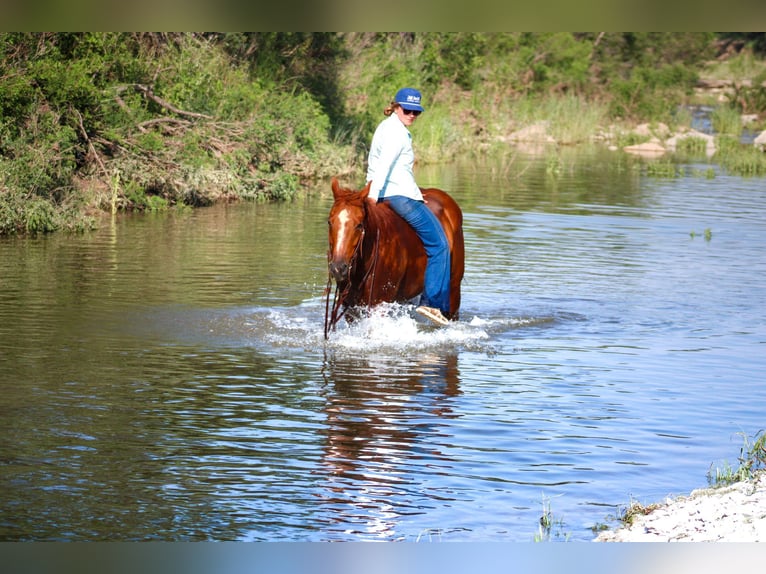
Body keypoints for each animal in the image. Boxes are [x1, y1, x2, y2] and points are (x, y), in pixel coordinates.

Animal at [326, 178, 468, 340]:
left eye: (359, 225)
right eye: (330, 222)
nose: (338, 268)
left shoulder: (379, 305)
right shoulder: (351, 309)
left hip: (453, 290)